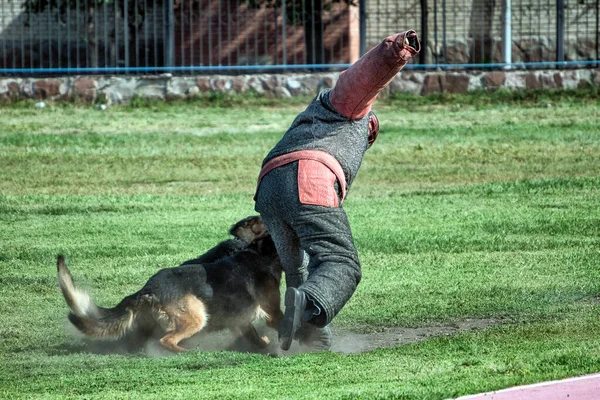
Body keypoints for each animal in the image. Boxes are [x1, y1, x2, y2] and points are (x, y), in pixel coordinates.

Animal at [57, 217, 282, 352]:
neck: (259, 253)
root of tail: (147, 289)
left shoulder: (242, 319)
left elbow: (254, 336)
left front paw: (263, 345)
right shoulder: (271, 311)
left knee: (137, 344)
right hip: (196, 316)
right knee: (167, 340)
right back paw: (187, 352)